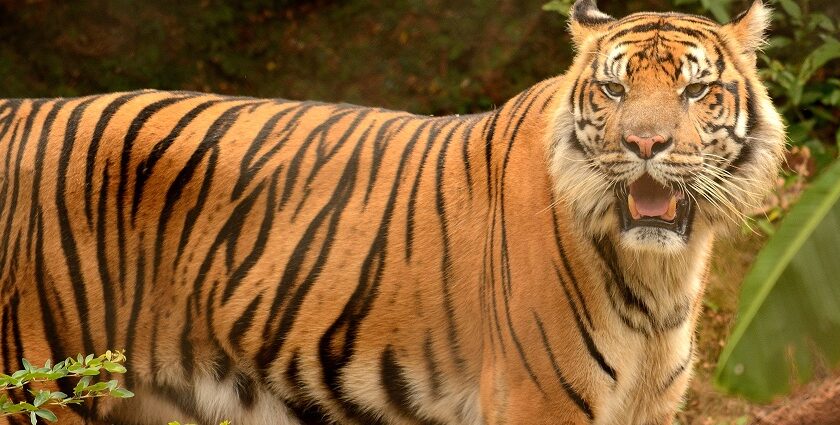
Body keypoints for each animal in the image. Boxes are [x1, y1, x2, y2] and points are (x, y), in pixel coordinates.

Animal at [0, 0, 784, 422]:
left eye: (694, 91)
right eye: (615, 91)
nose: (644, 144)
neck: (659, 271)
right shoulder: (538, 401)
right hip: (36, 383)